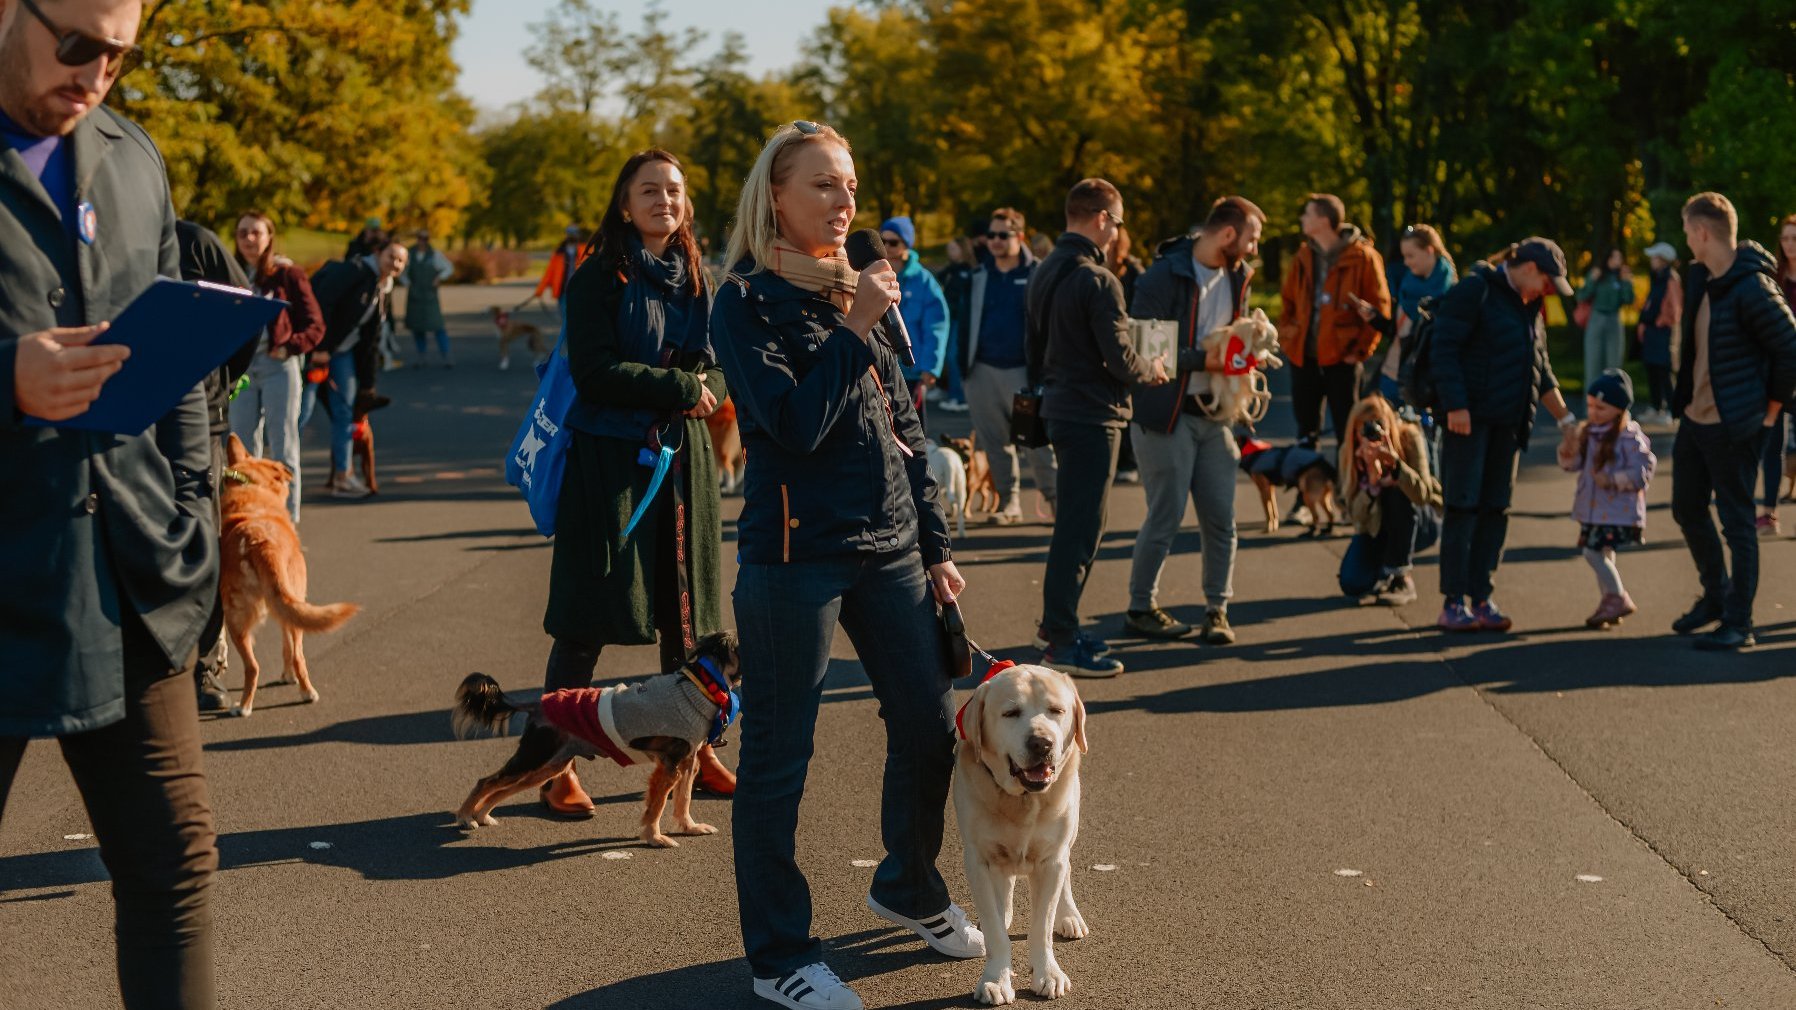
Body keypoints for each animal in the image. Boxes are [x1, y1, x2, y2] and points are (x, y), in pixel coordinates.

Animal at [948, 661, 1084, 999]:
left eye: (1056, 710)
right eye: (1010, 713)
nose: (1041, 743)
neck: (1023, 801)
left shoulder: (1051, 860)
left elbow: (1042, 926)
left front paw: (1047, 972)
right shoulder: (979, 861)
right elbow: (995, 931)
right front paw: (996, 979)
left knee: (1067, 871)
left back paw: (1069, 915)